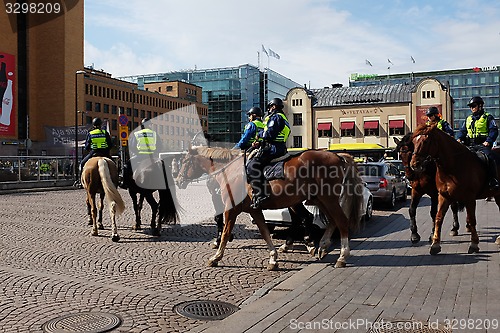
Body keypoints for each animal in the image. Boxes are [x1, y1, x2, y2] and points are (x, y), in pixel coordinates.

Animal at [176, 146, 364, 270]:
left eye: (184, 161)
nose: (178, 181)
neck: (231, 171)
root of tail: (337, 156)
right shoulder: (254, 210)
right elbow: (265, 232)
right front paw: (273, 258)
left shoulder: (231, 210)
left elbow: (225, 233)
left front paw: (216, 257)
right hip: (319, 200)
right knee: (330, 221)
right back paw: (322, 246)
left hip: (328, 199)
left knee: (341, 221)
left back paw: (341, 256)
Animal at [410, 123, 500, 253]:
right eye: (413, 141)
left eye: (426, 141)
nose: (414, 164)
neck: (453, 167)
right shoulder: (443, 196)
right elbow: (438, 218)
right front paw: (435, 244)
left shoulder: (469, 198)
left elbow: (471, 220)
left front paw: (474, 244)